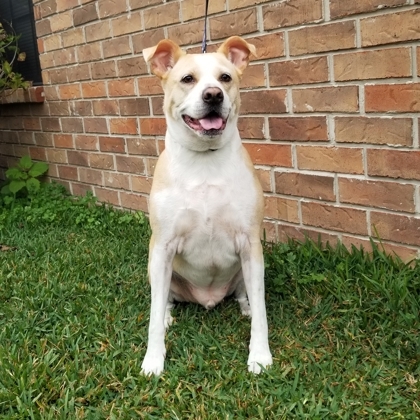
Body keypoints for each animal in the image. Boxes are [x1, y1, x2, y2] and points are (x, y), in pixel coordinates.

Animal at [141, 36, 272, 376]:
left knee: (243, 293)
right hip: (156, 267)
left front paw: (260, 355)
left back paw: (244, 307)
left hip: (244, 269)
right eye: (188, 79)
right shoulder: (163, 246)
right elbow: (152, 317)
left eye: (225, 77)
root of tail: (207, 299)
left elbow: (263, 312)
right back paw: (168, 315)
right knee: (164, 299)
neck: (204, 159)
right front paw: (153, 359)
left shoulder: (250, 245)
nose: (213, 95)